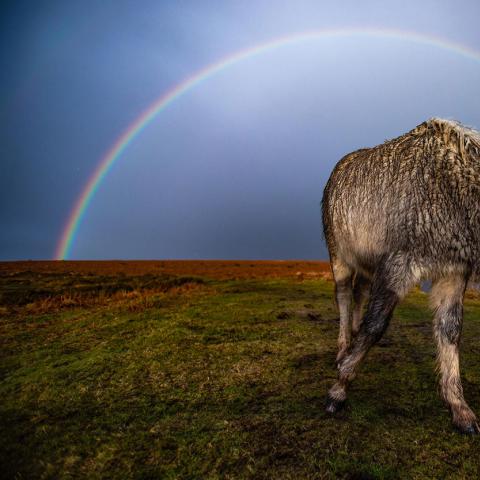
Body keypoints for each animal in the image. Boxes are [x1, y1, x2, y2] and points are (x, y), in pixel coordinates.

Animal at [320, 118, 480, 434]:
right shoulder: (397, 265)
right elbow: (375, 326)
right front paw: (339, 388)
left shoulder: (453, 272)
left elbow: (450, 330)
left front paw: (459, 407)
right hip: (339, 255)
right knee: (343, 295)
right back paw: (343, 348)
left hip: (367, 263)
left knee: (359, 292)